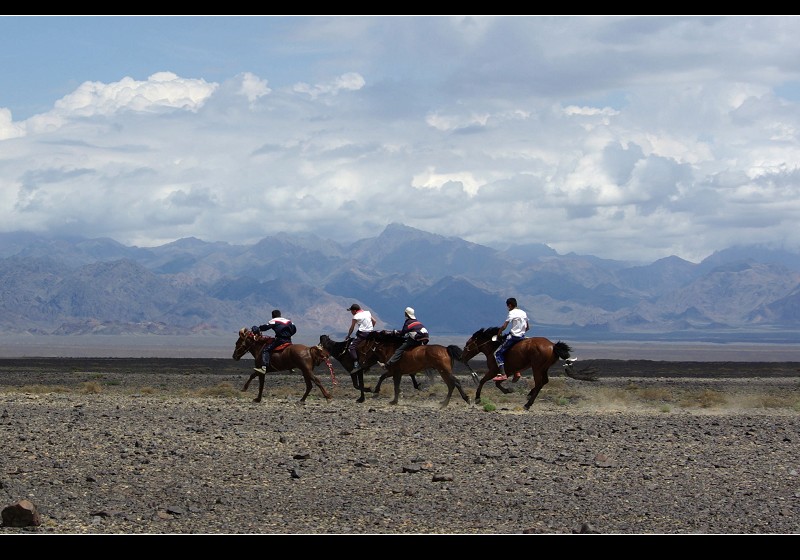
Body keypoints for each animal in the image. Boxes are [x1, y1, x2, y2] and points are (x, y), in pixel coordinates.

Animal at [460, 326, 596, 410]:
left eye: (467, 343)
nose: (462, 357)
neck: (493, 348)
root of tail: (553, 345)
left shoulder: (494, 370)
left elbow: (483, 381)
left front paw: (478, 399)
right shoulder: (507, 371)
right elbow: (498, 384)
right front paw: (509, 390)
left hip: (536, 367)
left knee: (539, 382)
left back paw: (527, 404)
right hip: (544, 368)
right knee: (544, 381)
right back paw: (529, 396)